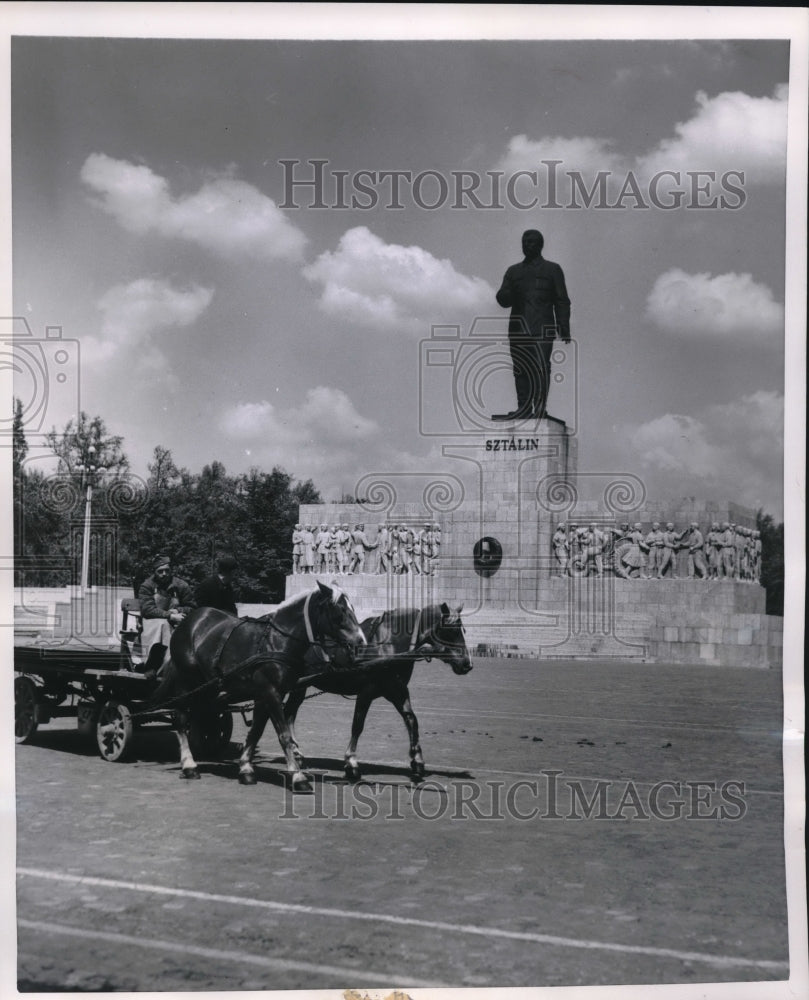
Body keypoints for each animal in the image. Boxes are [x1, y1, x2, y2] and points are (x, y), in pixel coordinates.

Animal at [151, 584, 362, 792]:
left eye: (352, 608)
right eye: (339, 612)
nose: (360, 642)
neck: (277, 640)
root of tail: (188, 621)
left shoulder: (265, 694)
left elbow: (256, 731)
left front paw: (245, 768)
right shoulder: (271, 692)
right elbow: (283, 734)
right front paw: (298, 776)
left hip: (207, 686)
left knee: (200, 713)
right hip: (186, 681)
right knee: (181, 717)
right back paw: (189, 765)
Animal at [286, 600, 470, 780]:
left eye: (462, 630)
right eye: (451, 631)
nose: (467, 664)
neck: (389, 646)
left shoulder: (398, 690)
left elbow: (412, 720)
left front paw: (417, 761)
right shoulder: (366, 692)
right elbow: (357, 725)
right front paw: (351, 762)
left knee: (290, 712)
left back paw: (296, 752)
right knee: (289, 712)